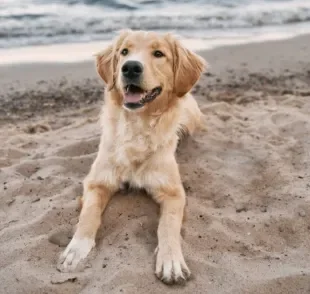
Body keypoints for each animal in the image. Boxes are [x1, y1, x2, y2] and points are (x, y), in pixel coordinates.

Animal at [57, 29, 206, 284]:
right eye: (124, 52)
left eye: (159, 54)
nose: (130, 68)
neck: (137, 125)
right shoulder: (97, 182)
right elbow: (88, 215)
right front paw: (76, 249)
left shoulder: (174, 192)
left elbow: (168, 225)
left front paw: (171, 260)